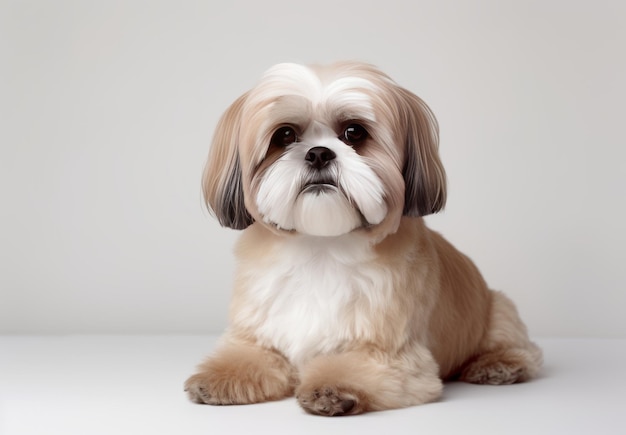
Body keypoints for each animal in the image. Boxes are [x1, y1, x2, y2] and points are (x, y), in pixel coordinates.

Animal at [185, 60, 540, 416]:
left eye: (354, 132)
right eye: (285, 135)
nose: (318, 153)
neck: (321, 247)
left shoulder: (391, 355)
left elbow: (352, 367)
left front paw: (333, 388)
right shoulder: (259, 334)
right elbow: (248, 356)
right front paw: (219, 377)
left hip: (497, 309)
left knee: (521, 348)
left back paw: (498, 365)